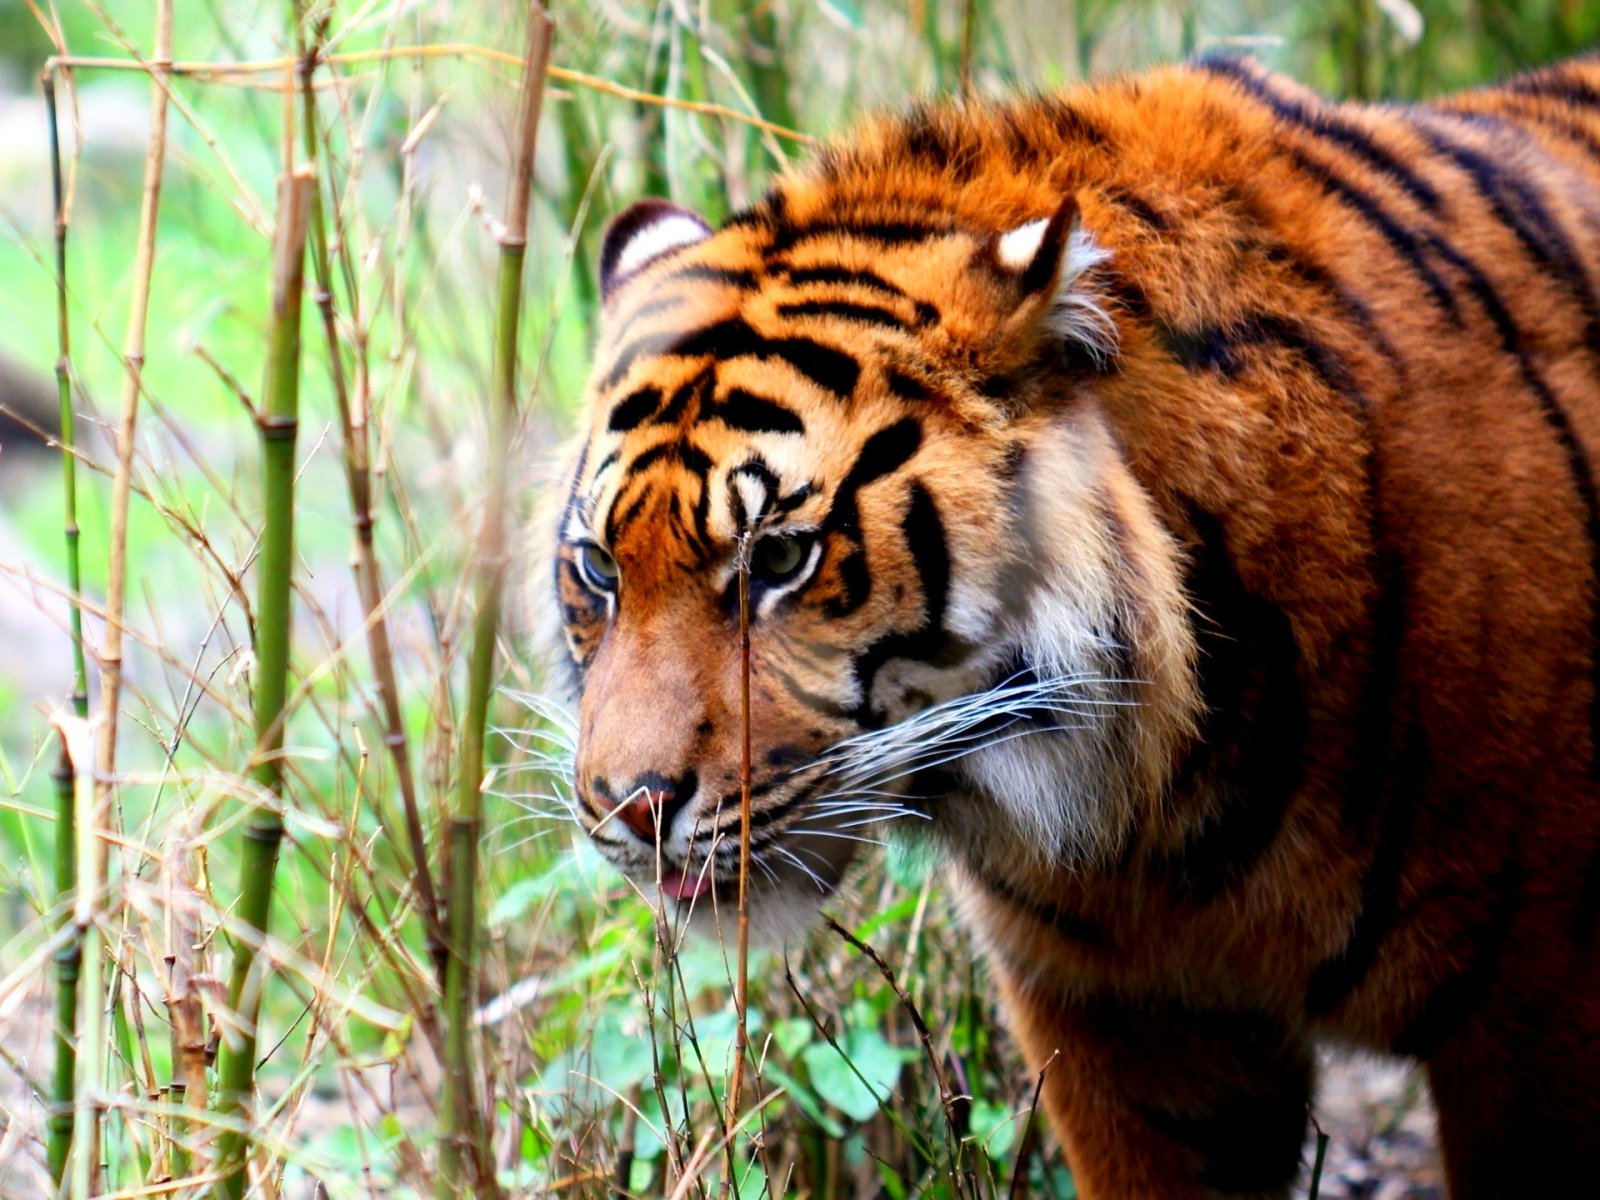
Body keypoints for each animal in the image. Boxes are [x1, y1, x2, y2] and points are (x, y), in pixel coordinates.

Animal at [542, 51, 1600, 1199]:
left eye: (781, 559)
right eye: (599, 570)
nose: (630, 807)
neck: (1169, 810)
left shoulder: (1535, 1013)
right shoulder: (1128, 1026)